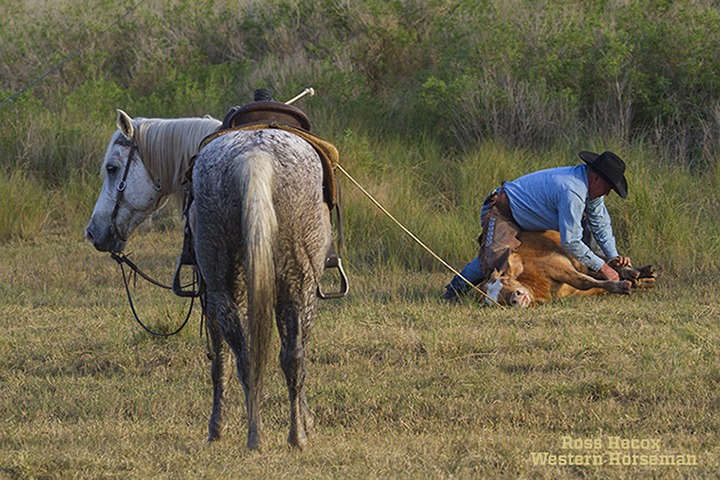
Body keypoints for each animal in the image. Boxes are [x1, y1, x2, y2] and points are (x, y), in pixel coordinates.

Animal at [86, 110, 333, 449]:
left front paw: (216, 428)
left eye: (112, 168)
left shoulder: (207, 294)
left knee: (248, 357)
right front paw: (306, 421)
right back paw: (292, 437)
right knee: (287, 356)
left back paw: (259, 435)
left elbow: (219, 362)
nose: (93, 232)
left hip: (225, 289)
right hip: (293, 286)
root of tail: (255, 157)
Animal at [481, 230, 656, 307]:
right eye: (498, 302)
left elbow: (583, 281)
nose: (515, 297)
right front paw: (628, 284)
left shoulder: (557, 266)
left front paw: (622, 285)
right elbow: (592, 283)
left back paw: (638, 271)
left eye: (507, 280)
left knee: (602, 261)